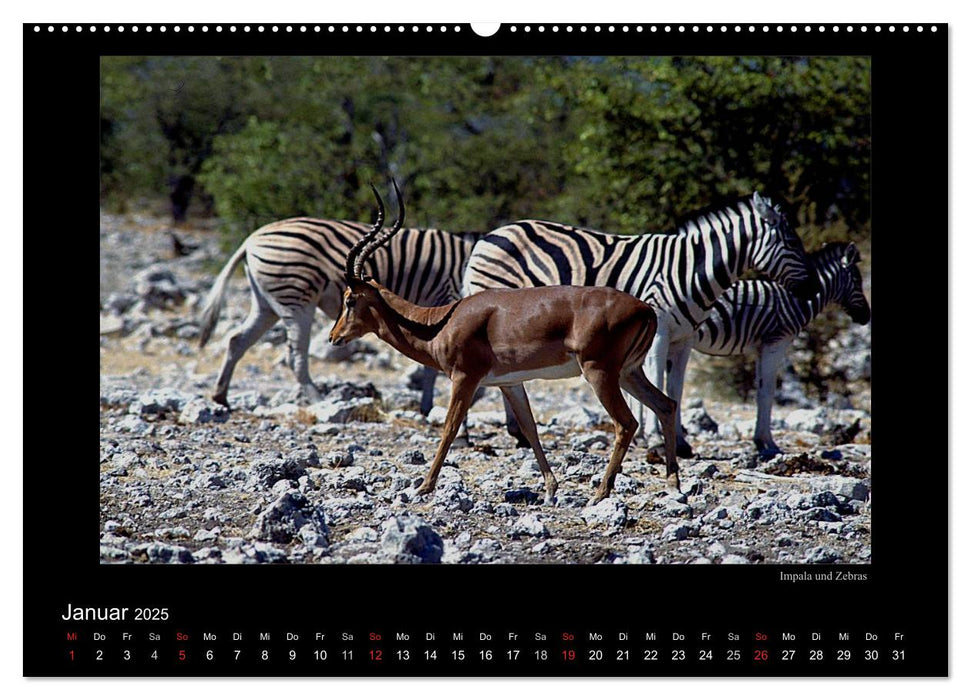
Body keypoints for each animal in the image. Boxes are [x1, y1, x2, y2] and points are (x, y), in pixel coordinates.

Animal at [198, 216, 478, 408]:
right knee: (295, 355)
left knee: (237, 340)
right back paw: (319, 401)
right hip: (296, 300)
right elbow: (434, 367)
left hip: (266, 304)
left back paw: (220, 396)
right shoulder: (444, 303)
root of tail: (251, 239)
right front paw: (430, 406)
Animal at [468, 191, 816, 454]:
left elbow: (675, 387)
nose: (811, 290)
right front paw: (656, 440)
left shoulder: (683, 339)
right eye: (791, 243)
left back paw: (518, 434)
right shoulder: (660, 330)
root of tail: (490, 235)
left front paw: (680, 442)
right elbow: (658, 380)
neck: (690, 269)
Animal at [676, 243, 872, 456]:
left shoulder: (762, 348)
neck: (796, 299)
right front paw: (768, 443)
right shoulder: (776, 343)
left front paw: (760, 441)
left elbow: (760, 391)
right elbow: (768, 392)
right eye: (857, 281)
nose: (866, 317)